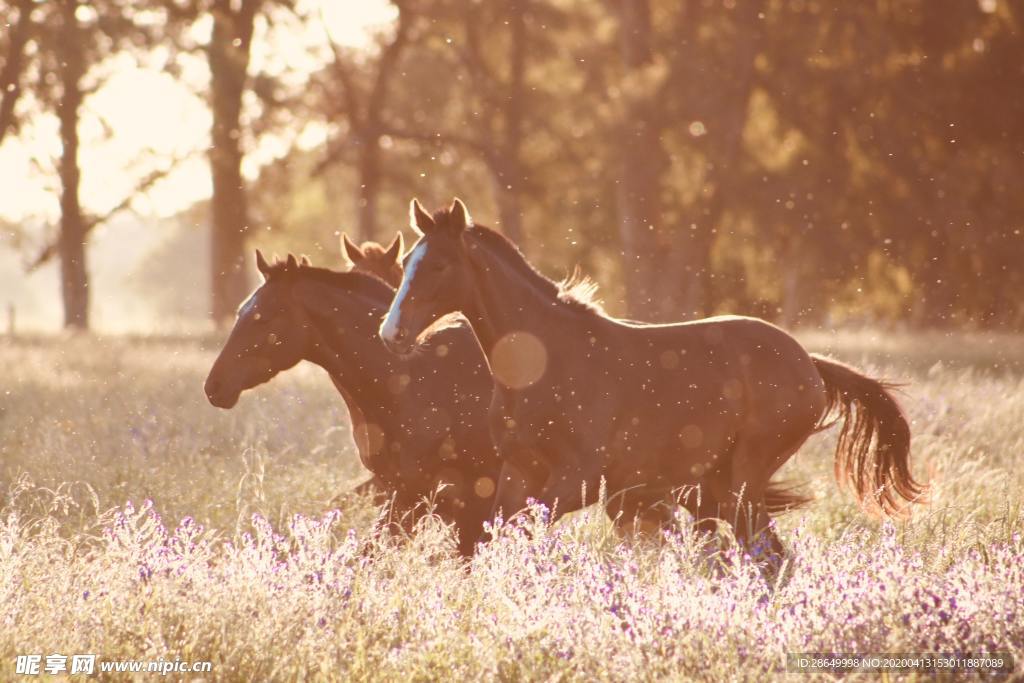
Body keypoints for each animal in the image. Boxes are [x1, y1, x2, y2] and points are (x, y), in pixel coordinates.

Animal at [378, 197, 929, 557]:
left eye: (440, 265)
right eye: (407, 262)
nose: (391, 333)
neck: (543, 363)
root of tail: (809, 364)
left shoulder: (580, 480)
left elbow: (515, 532)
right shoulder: (519, 471)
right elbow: (492, 534)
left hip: (743, 480)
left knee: (766, 554)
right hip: (718, 485)